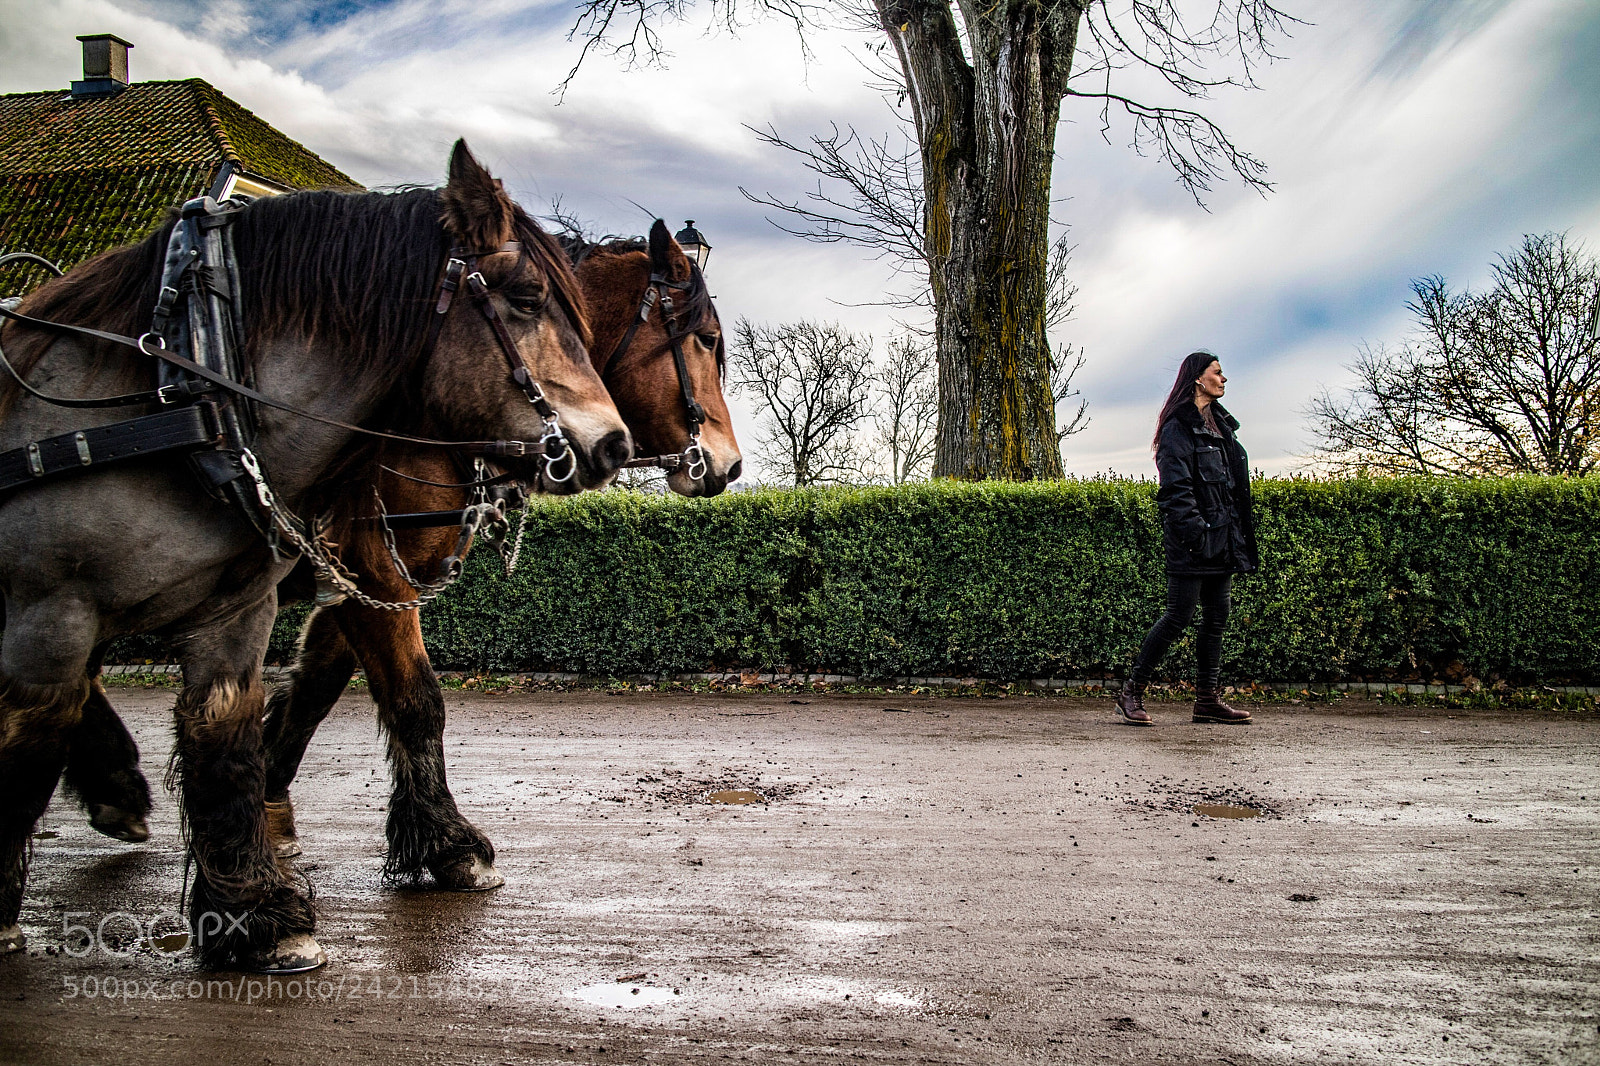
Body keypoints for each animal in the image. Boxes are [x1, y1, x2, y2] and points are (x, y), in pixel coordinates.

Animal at [0, 140, 629, 972]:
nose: (613, 444)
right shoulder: (56, 608)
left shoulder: (257, 603)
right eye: (525, 297)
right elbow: (28, 745)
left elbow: (233, 732)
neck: (191, 390)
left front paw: (255, 902)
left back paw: (119, 790)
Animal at [55, 219, 742, 905]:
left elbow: (317, 686)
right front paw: (448, 843)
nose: (730, 464)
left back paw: (113, 782)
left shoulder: (363, 583)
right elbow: (416, 699)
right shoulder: (372, 570)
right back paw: (114, 781)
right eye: (706, 340)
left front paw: (272, 799)